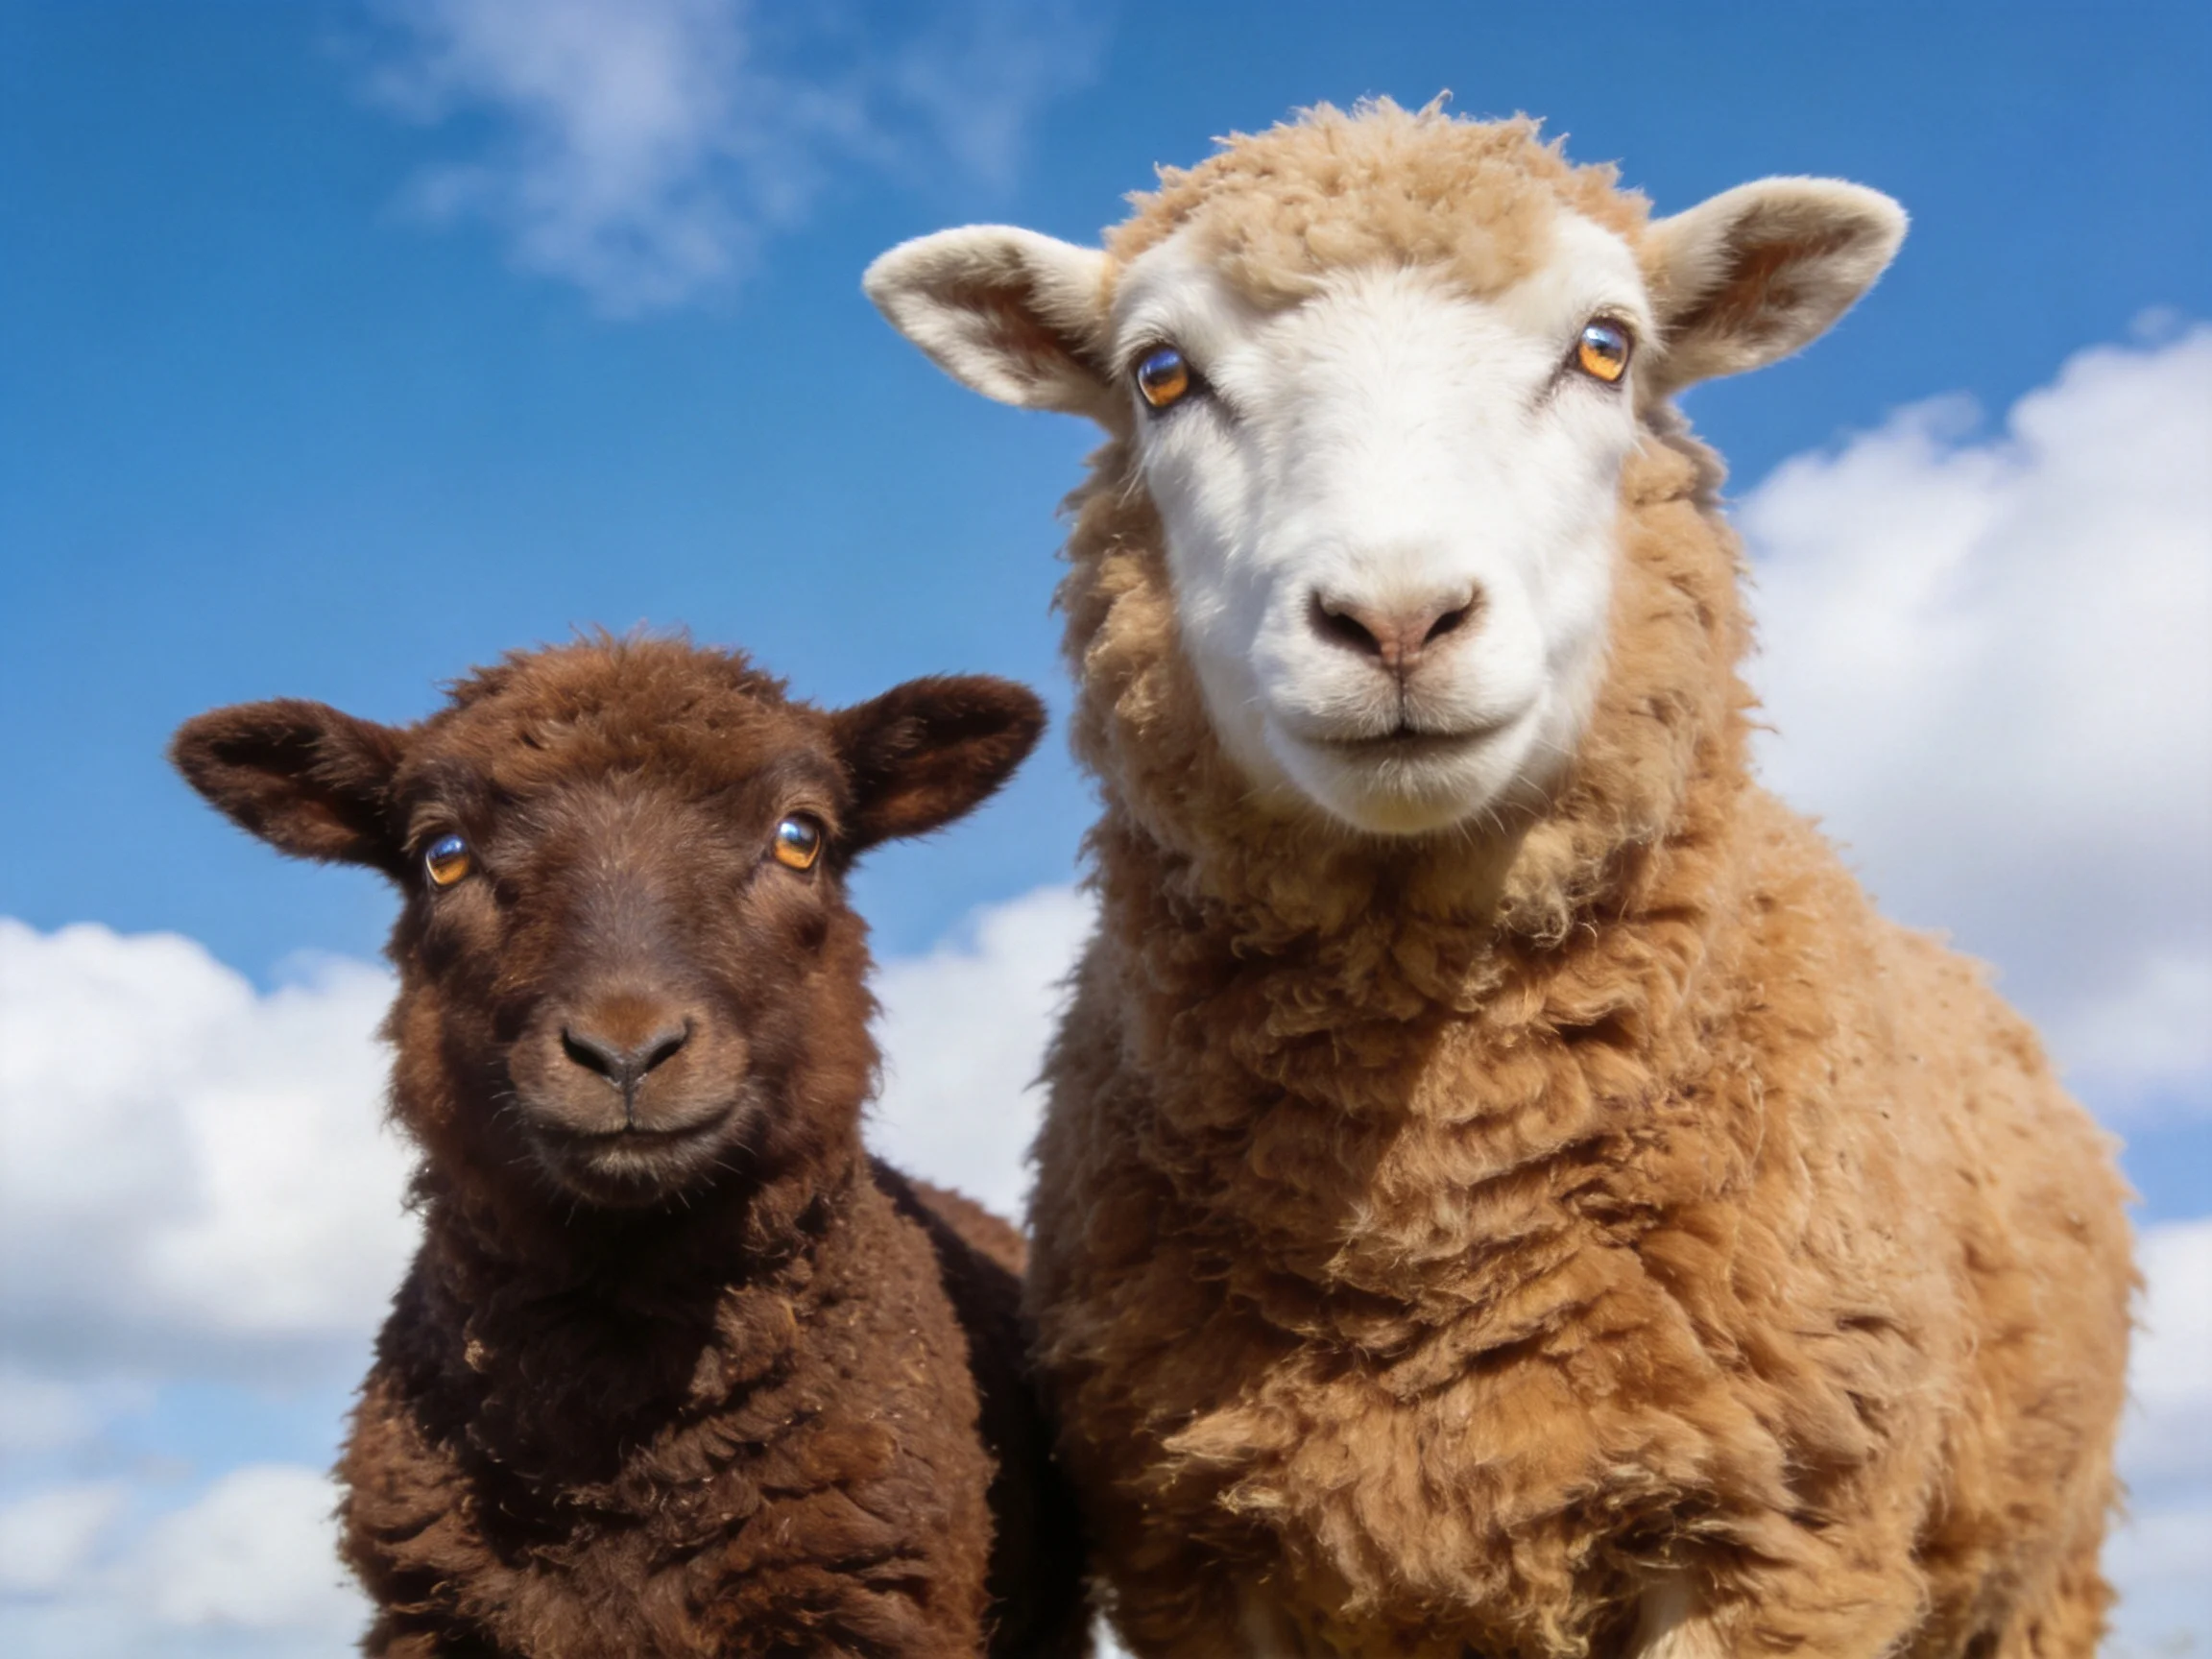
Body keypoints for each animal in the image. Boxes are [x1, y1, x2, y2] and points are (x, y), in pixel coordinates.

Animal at [863, 100, 2135, 1657]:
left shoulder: (1773, 1539)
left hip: (2035, 1580)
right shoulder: (1203, 1563)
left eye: (1606, 347)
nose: (1398, 618)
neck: (1429, 1230)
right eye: (1161, 375)